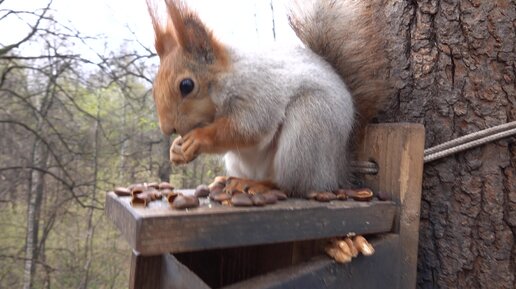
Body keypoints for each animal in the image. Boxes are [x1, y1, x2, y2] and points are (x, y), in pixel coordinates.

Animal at [145, 0, 392, 196]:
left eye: (186, 85)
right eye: (154, 88)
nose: (167, 129)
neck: (226, 78)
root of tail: (339, 168)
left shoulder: (258, 91)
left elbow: (248, 128)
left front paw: (197, 139)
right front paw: (175, 149)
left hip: (307, 131)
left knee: (291, 185)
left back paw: (262, 185)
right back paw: (228, 181)